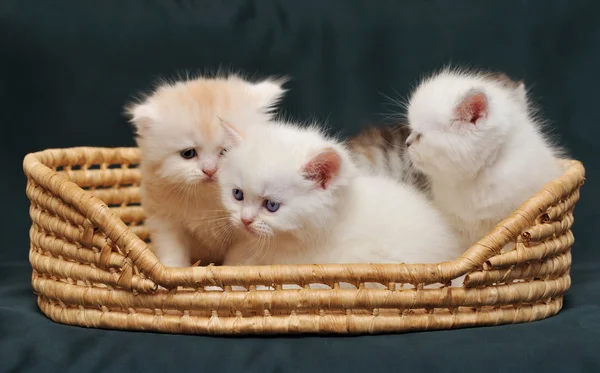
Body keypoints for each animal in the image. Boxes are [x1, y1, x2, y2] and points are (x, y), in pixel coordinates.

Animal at [126, 74, 286, 266]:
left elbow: (237, 263)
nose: (210, 170)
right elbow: (172, 255)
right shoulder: (164, 220)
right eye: (188, 153)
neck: (208, 200)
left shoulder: (246, 236)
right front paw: (172, 270)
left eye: (226, 152)